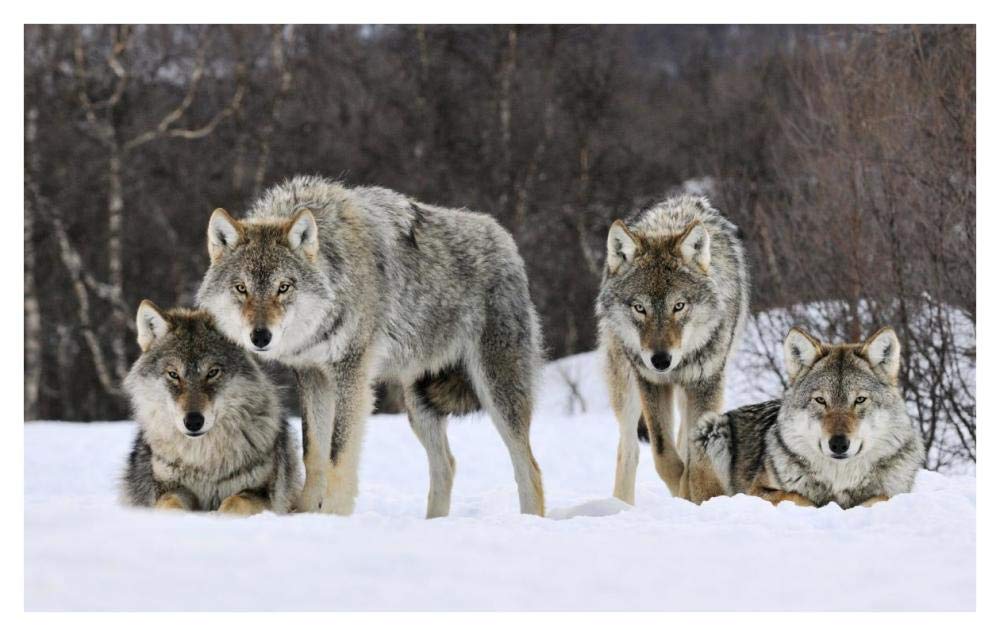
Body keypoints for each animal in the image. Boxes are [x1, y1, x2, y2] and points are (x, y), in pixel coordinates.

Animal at [121, 301, 301, 515]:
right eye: (173, 374)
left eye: (213, 372)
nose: (193, 421)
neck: (204, 461)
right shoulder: (169, 488)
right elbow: (170, 504)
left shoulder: (261, 493)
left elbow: (234, 503)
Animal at [196, 176, 545, 518]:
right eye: (241, 288)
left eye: (283, 287)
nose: (260, 337)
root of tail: (505, 239)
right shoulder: (312, 375)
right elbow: (314, 453)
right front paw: (305, 513)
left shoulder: (352, 373)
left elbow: (338, 454)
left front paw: (333, 516)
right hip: (419, 404)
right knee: (447, 465)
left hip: (496, 392)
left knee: (529, 468)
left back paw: (529, 520)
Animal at [596, 195, 748, 503]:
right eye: (639, 308)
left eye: (679, 306)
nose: (660, 360)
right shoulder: (651, 382)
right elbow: (664, 454)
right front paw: (682, 491)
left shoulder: (706, 382)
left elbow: (694, 455)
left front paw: (696, 495)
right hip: (626, 386)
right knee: (628, 449)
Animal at [686, 326, 925, 508]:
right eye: (820, 400)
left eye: (859, 400)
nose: (839, 444)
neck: (839, 480)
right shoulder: (756, 491)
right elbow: (798, 497)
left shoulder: (894, 493)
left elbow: (880, 498)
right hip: (711, 428)